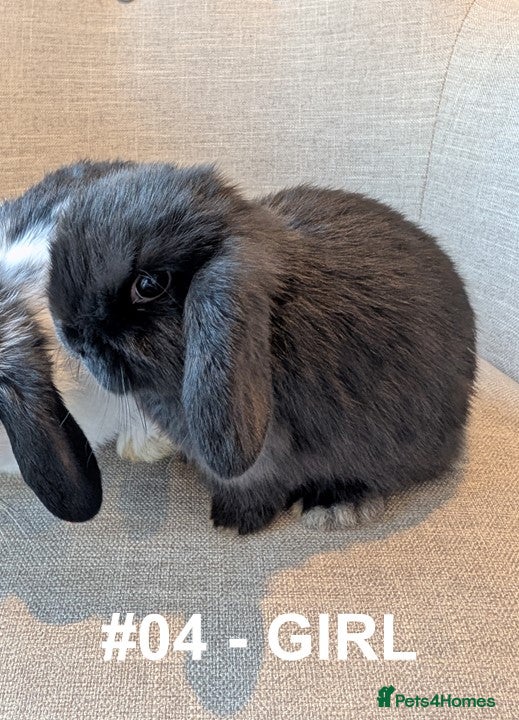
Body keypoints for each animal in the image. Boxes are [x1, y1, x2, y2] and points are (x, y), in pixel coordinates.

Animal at [47, 162, 476, 533]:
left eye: (149, 285)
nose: (71, 335)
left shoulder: (265, 457)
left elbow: (254, 485)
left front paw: (233, 518)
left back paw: (336, 503)